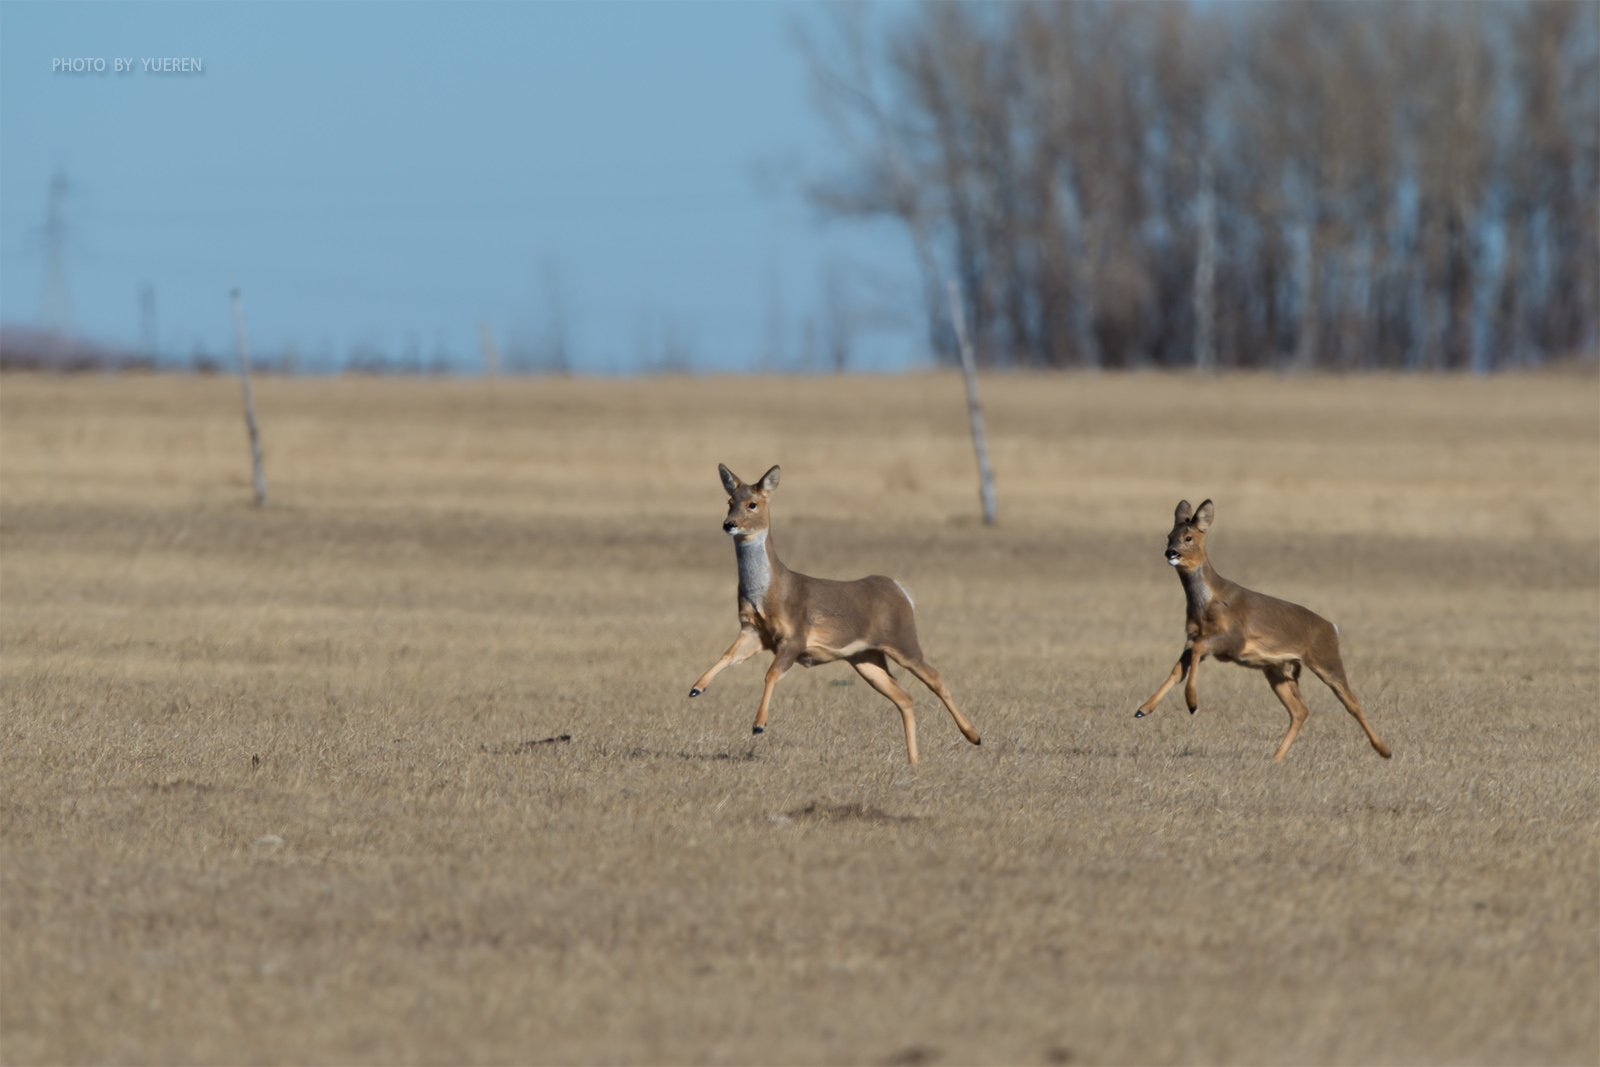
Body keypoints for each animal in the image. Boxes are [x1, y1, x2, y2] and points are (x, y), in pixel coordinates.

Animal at [691, 463, 979, 764]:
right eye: (729, 501)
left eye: (752, 504)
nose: (729, 524)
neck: (770, 592)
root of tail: (901, 590)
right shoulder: (753, 631)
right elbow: (727, 656)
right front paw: (696, 688)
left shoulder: (795, 636)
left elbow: (771, 674)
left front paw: (759, 724)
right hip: (865, 657)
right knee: (904, 696)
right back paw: (914, 761)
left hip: (904, 640)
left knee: (936, 679)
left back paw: (974, 736)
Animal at [1139, 499, 1388, 758]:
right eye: (1169, 536)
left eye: (1188, 537)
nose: (1171, 553)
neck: (1207, 604)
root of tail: (1333, 628)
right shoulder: (1192, 637)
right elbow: (1177, 670)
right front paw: (1143, 709)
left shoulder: (1233, 638)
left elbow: (1196, 653)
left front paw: (1192, 703)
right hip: (1278, 669)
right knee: (1300, 710)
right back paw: (1276, 758)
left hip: (1326, 658)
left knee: (1352, 702)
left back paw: (1384, 751)